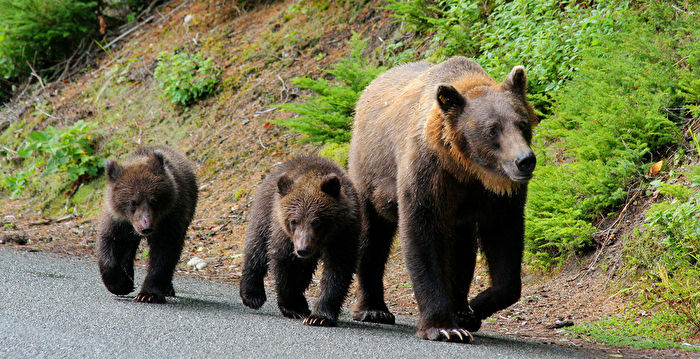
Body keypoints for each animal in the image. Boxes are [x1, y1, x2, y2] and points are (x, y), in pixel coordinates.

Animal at [97, 146, 198, 304]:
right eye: (133, 202)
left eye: (154, 200)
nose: (146, 227)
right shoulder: (118, 221)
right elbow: (109, 242)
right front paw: (122, 284)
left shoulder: (170, 219)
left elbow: (164, 253)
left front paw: (148, 294)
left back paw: (167, 288)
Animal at [241, 156, 360, 328]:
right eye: (294, 221)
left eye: (316, 221)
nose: (303, 249)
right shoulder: (284, 235)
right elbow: (284, 263)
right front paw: (292, 307)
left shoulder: (344, 234)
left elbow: (337, 272)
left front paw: (319, 317)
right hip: (265, 212)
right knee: (257, 246)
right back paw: (252, 295)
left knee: (304, 273)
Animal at [348, 57, 536, 344]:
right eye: (492, 129)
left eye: (522, 123)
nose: (524, 160)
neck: (466, 168)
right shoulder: (428, 175)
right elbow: (423, 237)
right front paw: (444, 327)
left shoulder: (495, 197)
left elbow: (505, 246)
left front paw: (472, 309)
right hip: (370, 174)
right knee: (371, 236)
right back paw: (373, 309)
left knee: (462, 250)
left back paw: (461, 307)